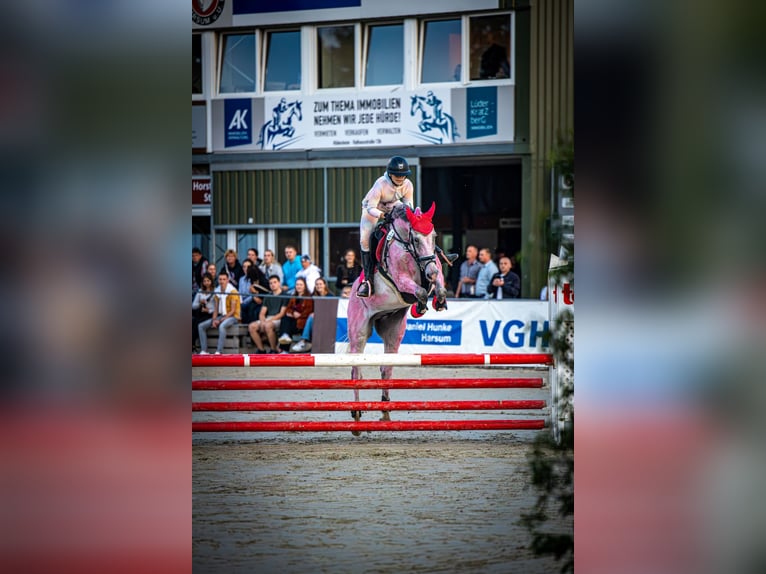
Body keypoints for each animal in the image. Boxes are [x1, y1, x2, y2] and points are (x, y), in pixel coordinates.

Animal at [348, 202, 450, 436]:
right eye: (416, 240)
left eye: (434, 236)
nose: (430, 272)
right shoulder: (402, 281)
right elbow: (420, 291)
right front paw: (420, 307)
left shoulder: (435, 269)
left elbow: (439, 287)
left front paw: (437, 302)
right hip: (359, 333)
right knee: (356, 369)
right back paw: (356, 416)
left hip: (393, 330)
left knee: (386, 368)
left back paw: (385, 410)